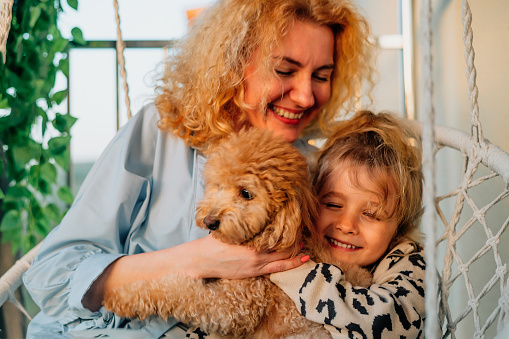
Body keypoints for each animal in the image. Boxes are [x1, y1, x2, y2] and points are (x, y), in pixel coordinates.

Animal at [105, 129, 372, 338]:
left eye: (245, 193)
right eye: (218, 185)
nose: (210, 221)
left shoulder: (235, 307)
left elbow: (182, 292)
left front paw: (121, 297)